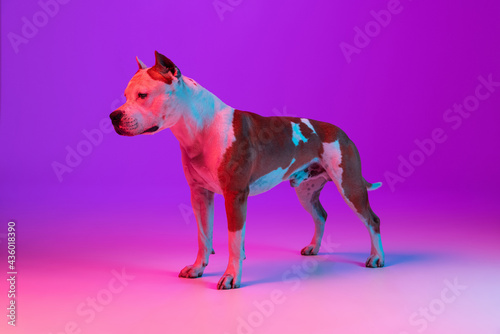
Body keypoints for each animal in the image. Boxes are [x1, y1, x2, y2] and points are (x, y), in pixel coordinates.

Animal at [108, 51, 382, 290]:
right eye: (125, 95)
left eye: (143, 95)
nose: (113, 116)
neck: (201, 128)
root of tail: (341, 132)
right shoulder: (199, 194)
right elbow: (203, 236)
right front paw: (198, 268)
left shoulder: (235, 195)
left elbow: (233, 239)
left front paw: (231, 277)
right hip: (306, 191)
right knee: (321, 215)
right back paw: (314, 248)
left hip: (350, 186)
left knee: (372, 219)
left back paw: (377, 258)